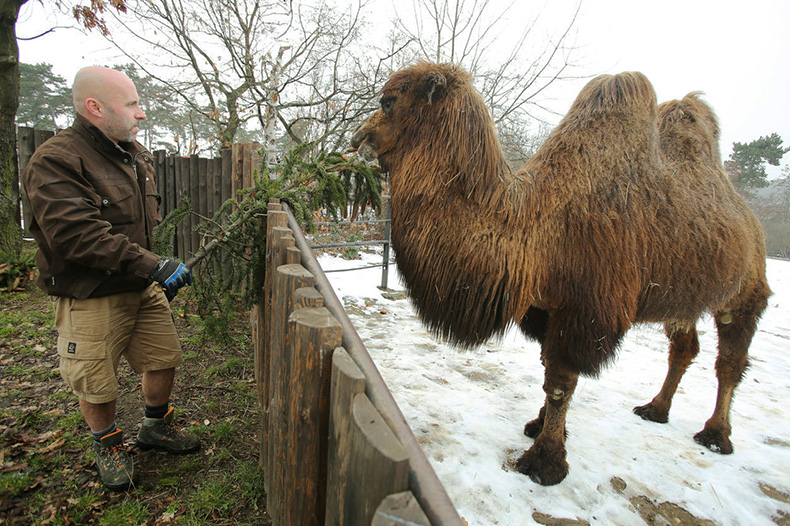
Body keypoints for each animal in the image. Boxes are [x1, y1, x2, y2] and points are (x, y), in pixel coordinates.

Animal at [352, 63, 772, 486]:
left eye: (388, 102)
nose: (358, 137)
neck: (535, 225)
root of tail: (750, 218)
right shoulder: (543, 309)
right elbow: (548, 371)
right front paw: (541, 426)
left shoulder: (585, 311)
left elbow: (560, 382)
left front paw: (545, 460)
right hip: (683, 297)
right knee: (684, 348)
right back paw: (656, 409)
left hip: (744, 293)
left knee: (730, 360)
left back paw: (716, 435)